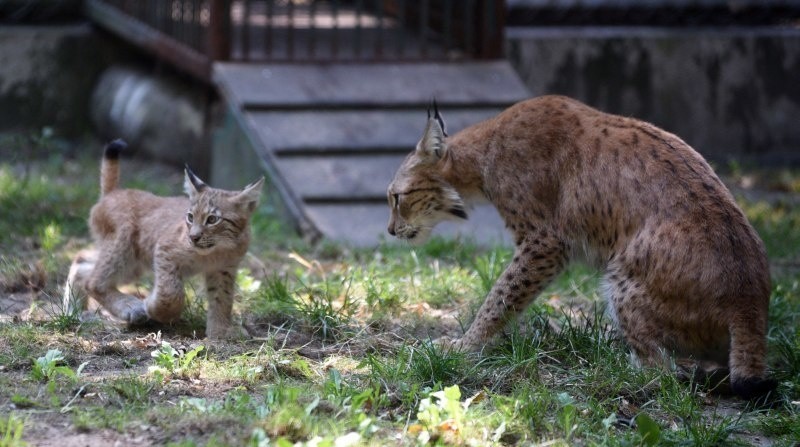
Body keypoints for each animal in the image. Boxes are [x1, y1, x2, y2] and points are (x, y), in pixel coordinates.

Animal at [65, 140, 264, 340]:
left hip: (135, 262)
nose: (193, 237)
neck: (217, 249)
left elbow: (222, 298)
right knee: (93, 282)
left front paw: (220, 331)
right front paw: (154, 308)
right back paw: (131, 307)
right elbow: (171, 292)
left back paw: (73, 312)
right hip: (126, 247)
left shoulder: (223, 269)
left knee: (82, 260)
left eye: (212, 219)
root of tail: (113, 193)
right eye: (190, 217)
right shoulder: (165, 249)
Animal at [388, 96, 776, 400]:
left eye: (396, 197)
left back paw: (619, 369)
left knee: (663, 372)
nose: (391, 231)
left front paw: (465, 346)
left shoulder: (544, 241)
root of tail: (749, 301)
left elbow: (502, 294)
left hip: (621, 277)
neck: (479, 160)